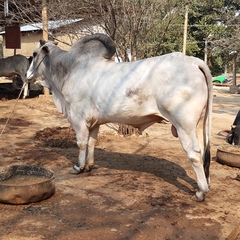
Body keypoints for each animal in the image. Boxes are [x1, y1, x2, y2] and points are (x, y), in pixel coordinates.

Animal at [27, 32, 213, 201]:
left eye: (34, 54)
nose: (28, 76)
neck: (69, 69)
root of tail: (194, 62)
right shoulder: (94, 123)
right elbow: (91, 142)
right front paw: (89, 166)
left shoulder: (78, 119)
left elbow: (81, 143)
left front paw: (78, 167)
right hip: (195, 125)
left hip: (184, 125)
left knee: (194, 153)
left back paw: (200, 191)